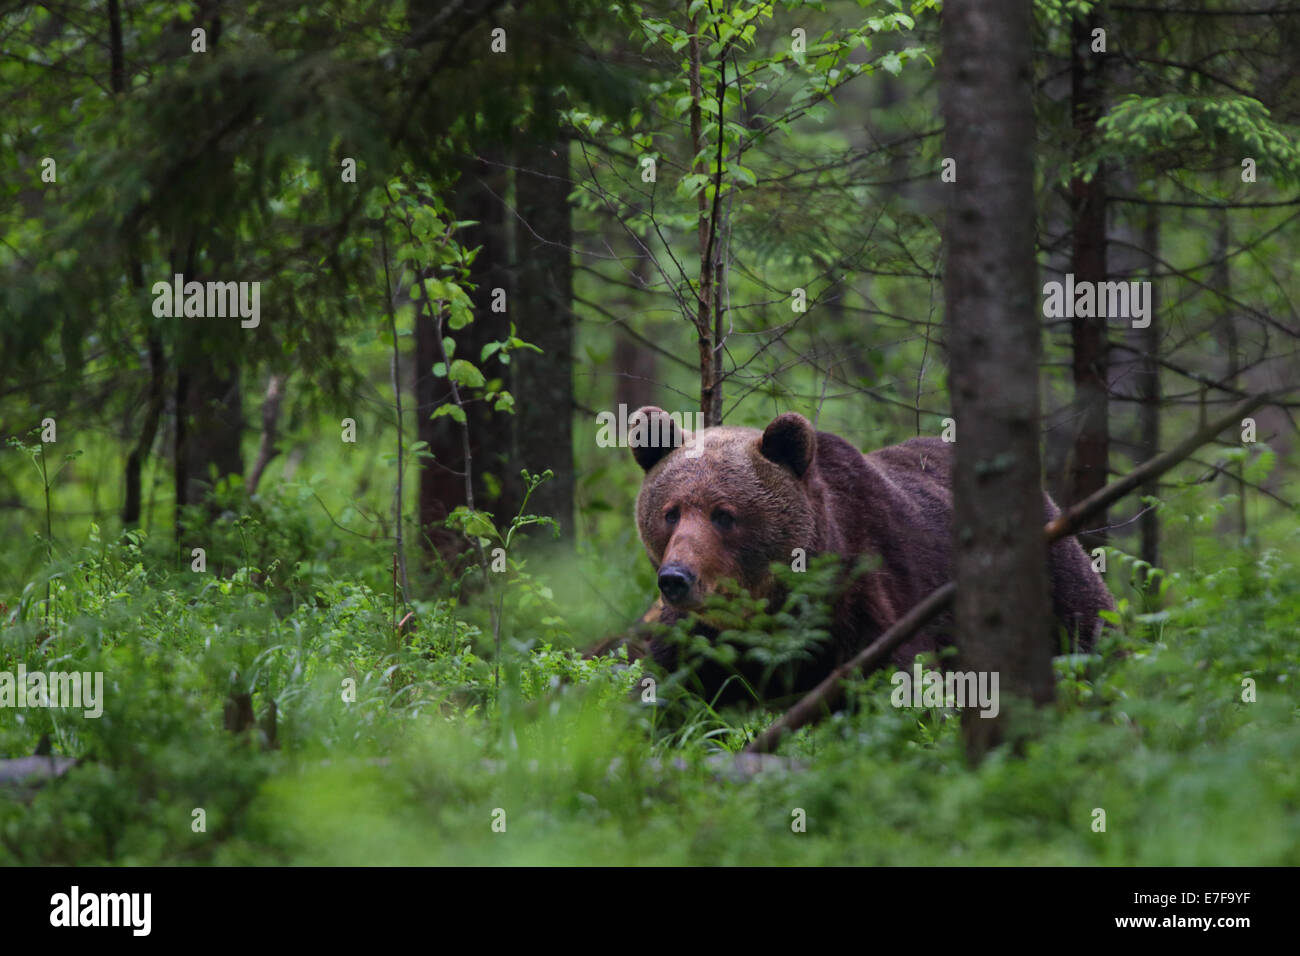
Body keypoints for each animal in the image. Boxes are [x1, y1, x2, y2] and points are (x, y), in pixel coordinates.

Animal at [611, 405, 1118, 702]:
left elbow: (898, 682)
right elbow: (663, 694)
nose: (676, 578)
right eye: (671, 512)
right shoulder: (697, 638)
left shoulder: (866, 598)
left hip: (1056, 575)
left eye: (723, 514)